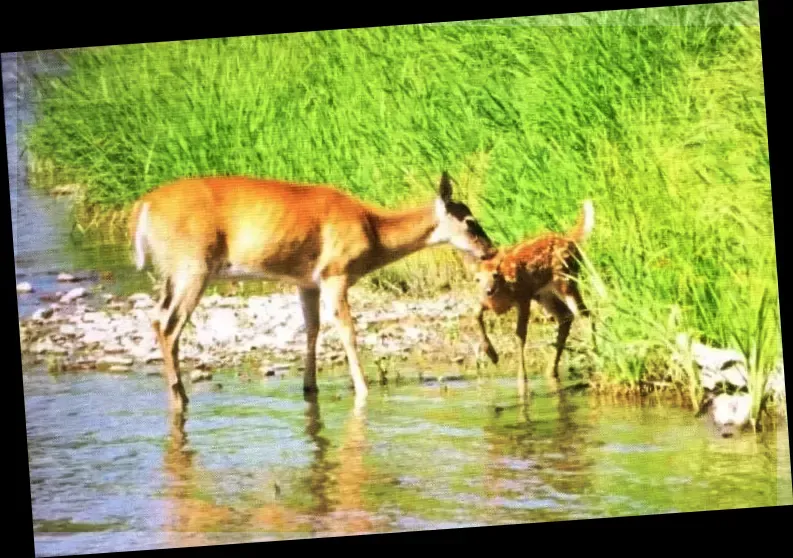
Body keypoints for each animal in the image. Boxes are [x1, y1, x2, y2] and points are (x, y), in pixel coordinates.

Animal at [127, 173, 492, 414]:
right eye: (470, 222)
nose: (489, 250)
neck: (373, 232)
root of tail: (143, 206)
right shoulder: (335, 273)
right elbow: (347, 331)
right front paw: (363, 389)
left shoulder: (307, 282)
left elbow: (312, 329)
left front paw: (309, 386)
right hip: (193, 267)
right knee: (170, 325)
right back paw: (180, 396)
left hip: (173, 273)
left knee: (156, 318)